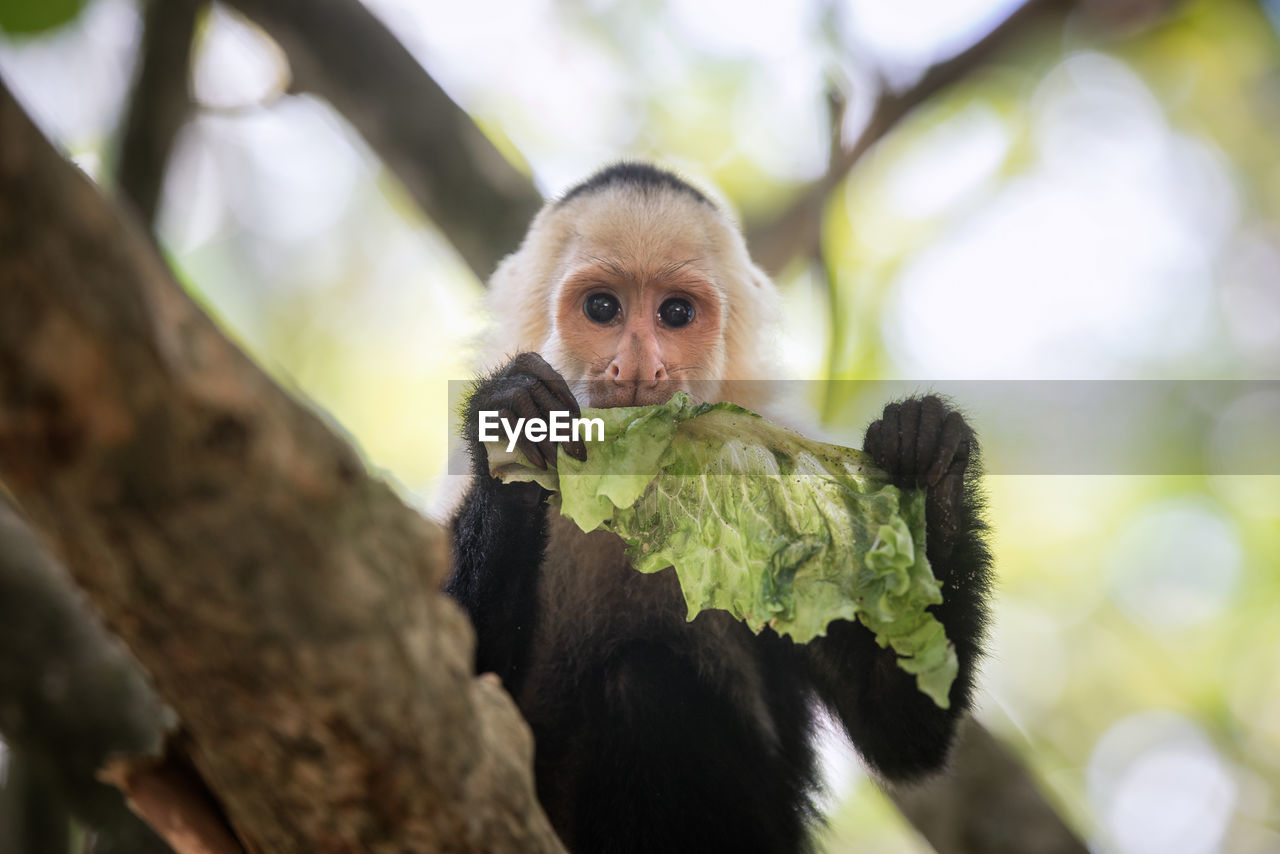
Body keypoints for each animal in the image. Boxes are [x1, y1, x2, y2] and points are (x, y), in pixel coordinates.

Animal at [445, 163, 993, 850]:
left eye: (676, 313)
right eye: (602, 308)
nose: (638, 366)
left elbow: (903, 723)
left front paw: (928, 457)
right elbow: (458, 695)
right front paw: (515, 423)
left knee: (645, 684)